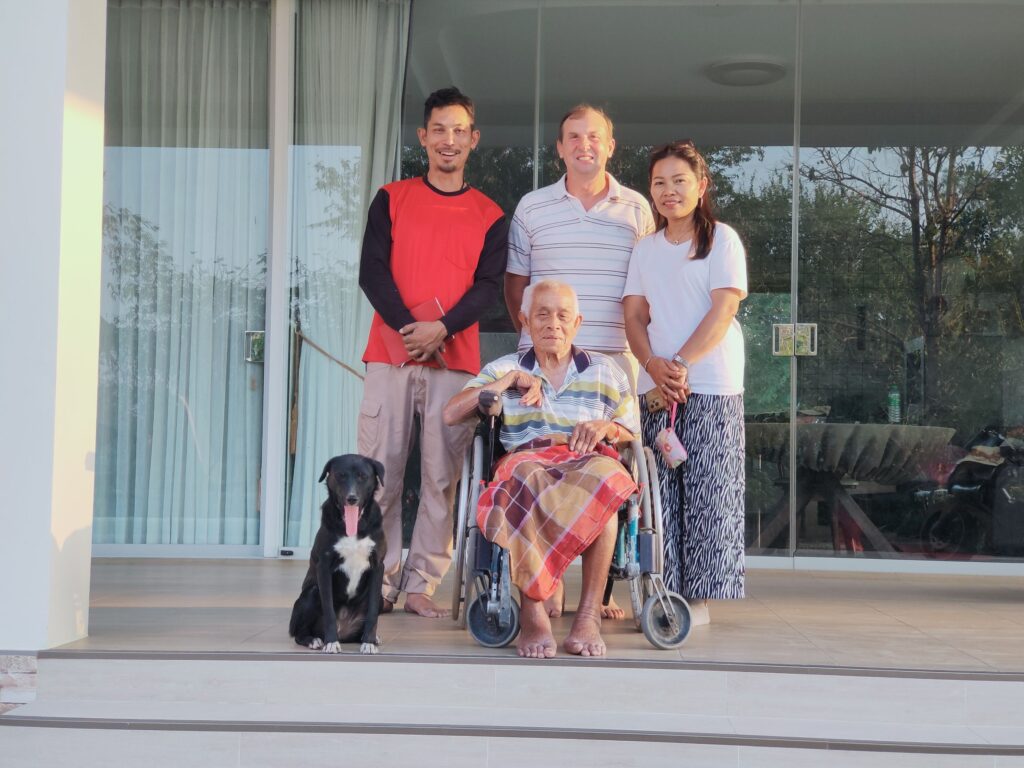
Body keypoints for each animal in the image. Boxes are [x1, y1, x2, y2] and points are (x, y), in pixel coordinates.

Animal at [288, 454, 387, 654]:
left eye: (363, 476)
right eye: (340, 476)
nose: (352, 498)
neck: (354, 526)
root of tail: (345, 632)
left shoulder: (378, 566)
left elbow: (372, 612)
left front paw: (369, 642)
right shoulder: (324, 567)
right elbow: (329, 611)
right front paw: (331, 643)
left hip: (381, 599)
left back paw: (368, 638)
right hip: (311, 593)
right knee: (299, 632)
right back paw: (313, 640)